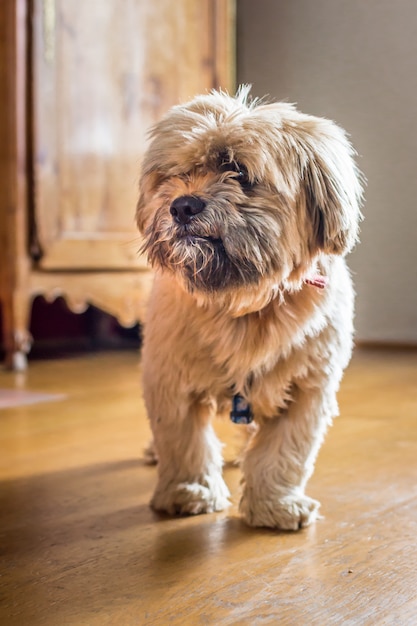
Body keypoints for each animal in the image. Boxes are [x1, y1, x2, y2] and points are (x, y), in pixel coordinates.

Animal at [136, 86, 360, 528]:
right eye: (174, 174)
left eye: (238, 172)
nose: (182, 205)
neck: (245, 303)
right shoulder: (170, 380)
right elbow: (183, 443)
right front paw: (190, 492)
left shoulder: (308, 390)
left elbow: (284, 453)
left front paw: (275, 504)